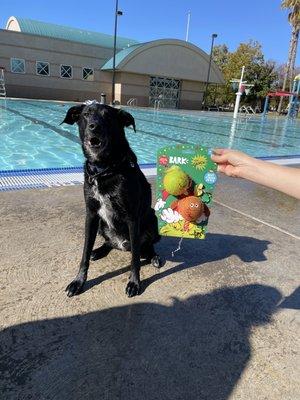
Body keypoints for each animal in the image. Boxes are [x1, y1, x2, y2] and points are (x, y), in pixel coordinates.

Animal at [61, 103, 162, 296]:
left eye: (108, 116)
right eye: (86, 114)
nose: (94, 126)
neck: (104, 169)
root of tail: (122, 244)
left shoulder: (132, 217)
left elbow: (135, 259)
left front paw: (134, 283)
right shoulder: (91, 215)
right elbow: (84, 253)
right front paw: (79, 281)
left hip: (152, 219)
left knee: (146, 246)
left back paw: (154, 256)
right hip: (102, 224)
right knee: (109, 242)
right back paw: (99, 250)